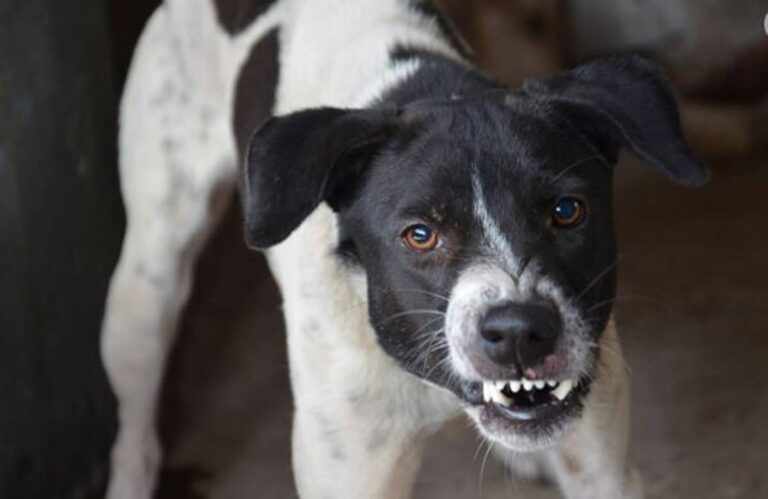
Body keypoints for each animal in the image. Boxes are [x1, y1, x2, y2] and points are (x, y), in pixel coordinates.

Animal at [99, 0, 712, 499]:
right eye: (419, 234)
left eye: (567, 211)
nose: (519, 331)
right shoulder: (352, 468)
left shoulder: (602, 465)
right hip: (147, 285)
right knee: (135, 426)